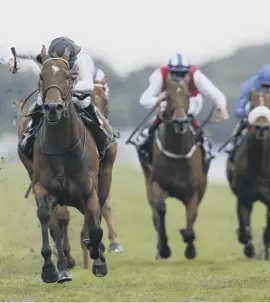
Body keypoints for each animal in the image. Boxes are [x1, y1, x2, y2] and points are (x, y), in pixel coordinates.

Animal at [16, 46, 114, 284]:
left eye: (68, 76)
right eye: (42, 76)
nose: (53, 107)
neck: (62, 147)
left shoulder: (90, 191)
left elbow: (95, 224)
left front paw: (98, 259)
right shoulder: (43, 188)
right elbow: (48, 220)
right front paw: (51, 269)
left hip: (105, 177)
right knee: (57, 224)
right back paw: (63, 267)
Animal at [137, 74, 209, 262]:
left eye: (188, 96)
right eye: (167, 97)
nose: (180, 122)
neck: (177, 152)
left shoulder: (195, 191)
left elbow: (191, 215)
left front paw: (190, 247)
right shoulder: (155, 184)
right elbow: (161, 210)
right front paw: (164, 248)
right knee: (155, 216)